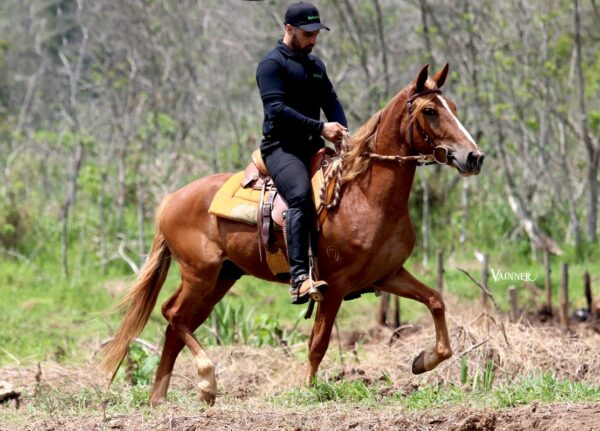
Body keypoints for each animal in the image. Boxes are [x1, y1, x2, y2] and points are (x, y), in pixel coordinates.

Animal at [102, 62, 488, 406]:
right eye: (430, 111)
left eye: (453, 108)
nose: (474, 156)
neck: (366, 195)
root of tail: (170, 200)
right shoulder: (335, 287)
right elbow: (318, 343)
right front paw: (307, 390)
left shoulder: (388, 275)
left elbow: (436, 300)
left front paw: (424, 361)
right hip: (200, 274)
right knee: (172, 315)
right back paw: (206, 380)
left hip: (220, 279)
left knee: (177, 324)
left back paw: (163, 397)